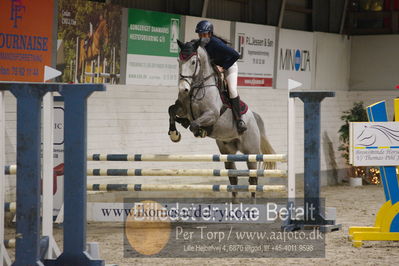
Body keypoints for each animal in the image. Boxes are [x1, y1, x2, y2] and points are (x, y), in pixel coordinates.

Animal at [167, 39, 276, 201]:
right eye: (179, 60)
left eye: (193, 62)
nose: (183, 89)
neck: (197, 87)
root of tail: (254, 118)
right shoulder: (183, 109)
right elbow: (171, 111)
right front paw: (175, 134)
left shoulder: (211, 114)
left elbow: (194, 124)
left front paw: (201, 131)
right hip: (227, 151)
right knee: (233, 177)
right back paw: (234, 203)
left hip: (251, 152)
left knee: (253, 178)